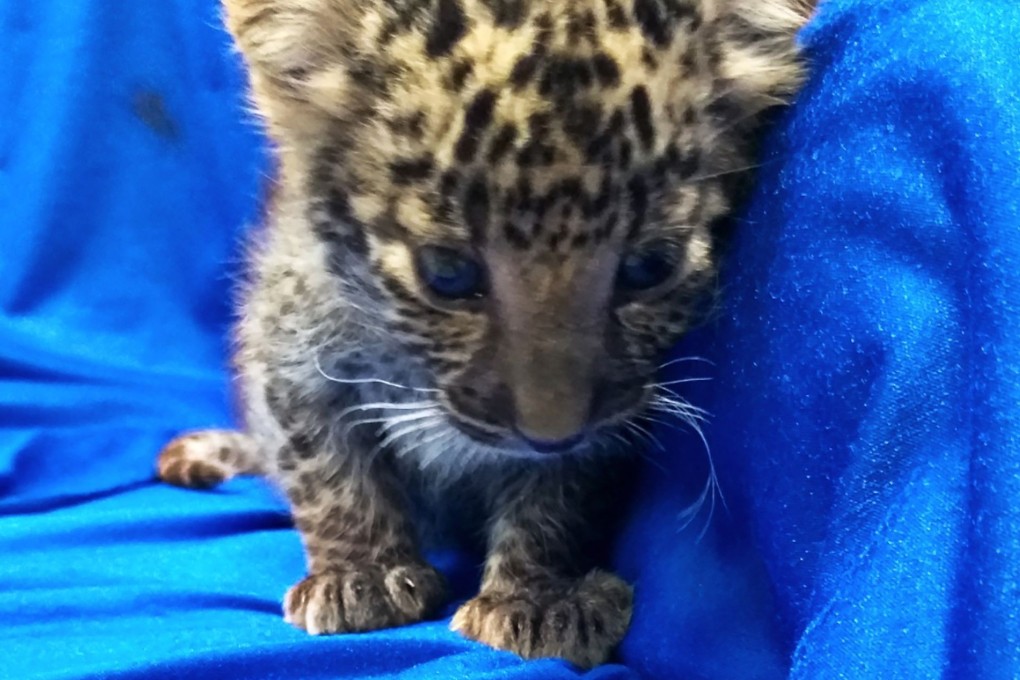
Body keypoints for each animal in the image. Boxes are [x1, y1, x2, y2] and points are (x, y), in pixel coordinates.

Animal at [156, 0, 812, 668]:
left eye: (650, 267)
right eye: (447, 274)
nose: (550, 433)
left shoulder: (605, 429)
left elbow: (561, 494)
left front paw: (539, 598)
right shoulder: (289, 352)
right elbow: (323, 466)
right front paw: (361, 575)